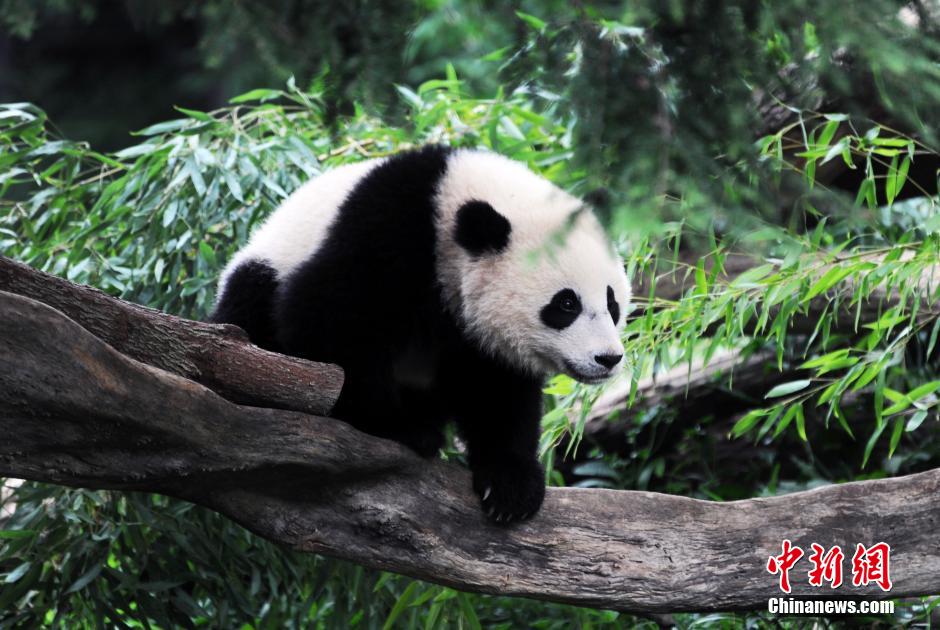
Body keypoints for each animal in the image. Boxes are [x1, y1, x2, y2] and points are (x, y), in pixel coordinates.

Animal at [209, 147, 628, 524]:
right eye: (566, 304)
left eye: (612, 303)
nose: (608, 358)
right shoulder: (384, 230)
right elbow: (325, 322)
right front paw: (396, 426)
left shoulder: (478, 337)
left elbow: (497, 391)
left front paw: (511, 485)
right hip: (261, 274)